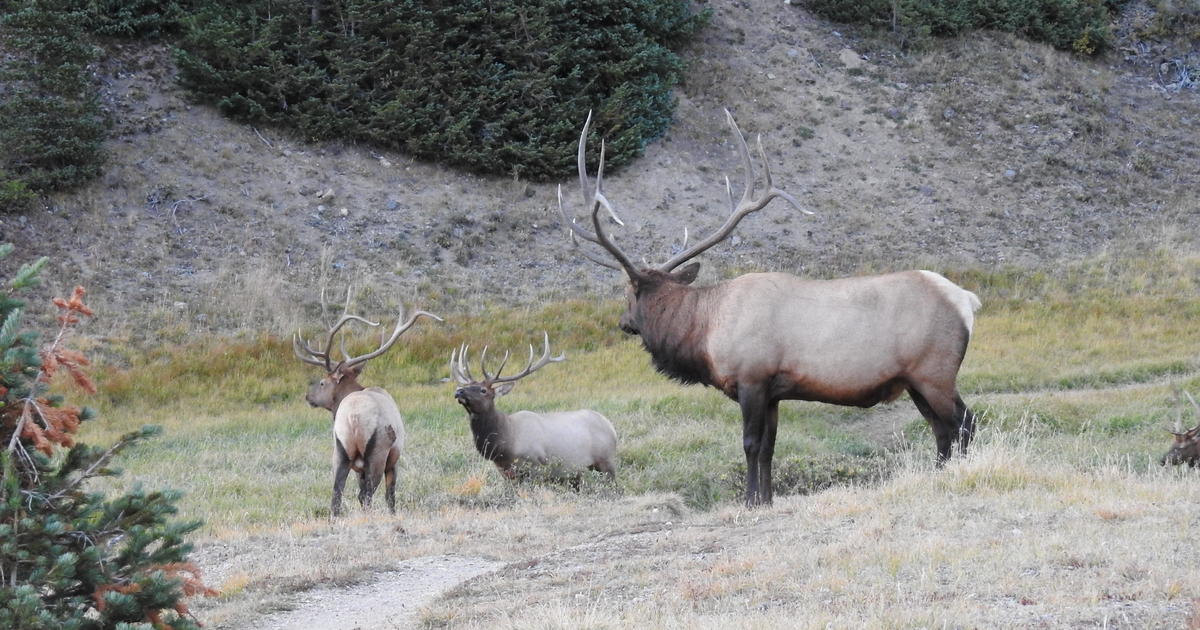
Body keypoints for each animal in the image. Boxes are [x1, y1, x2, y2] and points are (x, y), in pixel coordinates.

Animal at [292, 304, 444, 516]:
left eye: (322, 383)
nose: (308, 396)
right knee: (367, 494)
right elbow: (390, 496)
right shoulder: (393, 459)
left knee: (338, 495)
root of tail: (354, 416)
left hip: (341, 449)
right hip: (378, 452)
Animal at [451, 331, 619, 484]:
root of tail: (611, 427)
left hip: (606, 461)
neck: (505, 444)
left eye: (483, 390)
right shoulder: (506, 473)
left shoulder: (535, 465)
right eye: (467, 386)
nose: (459, 391)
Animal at [556, 110, 979, 508]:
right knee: (941, 429)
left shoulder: (752, 378)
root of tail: (966, 300)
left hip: (935, 371)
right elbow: (770, 448)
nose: (623, 322)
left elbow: (750, 444)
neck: (705, 331)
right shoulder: (775, 391)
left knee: (964, 422)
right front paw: (768, 497)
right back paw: (938, 474)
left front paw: (749, 499)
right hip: (914, 380)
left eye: (629, 293)